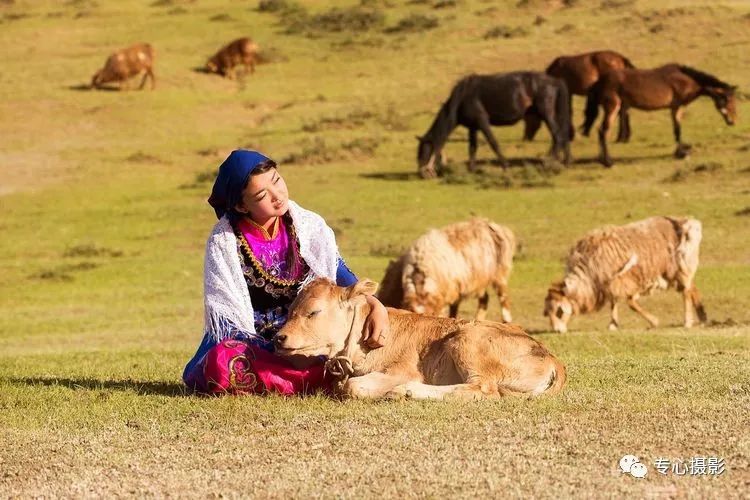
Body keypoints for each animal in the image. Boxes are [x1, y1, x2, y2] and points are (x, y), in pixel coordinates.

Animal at [274, 280, 568, 400]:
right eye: (290, 310)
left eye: (314, 311)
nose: (279, 337)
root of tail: (553, 358)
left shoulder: (403, 369)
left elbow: (352, 387)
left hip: (468, 342)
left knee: (483, 390)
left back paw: (405, 391)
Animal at [376, 218, 516, 320]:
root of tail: (489, 224)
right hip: (479, 280)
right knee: (484, 299)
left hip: (500, 273)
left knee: (504, 298)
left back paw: (506, 320)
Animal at [420, 72, 572, 178]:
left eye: (423, 150)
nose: (422, 173)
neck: (461, 98)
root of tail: (555, 81)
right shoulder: (473, 127)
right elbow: (472, 148)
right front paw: (471, 170)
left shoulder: (483, 122)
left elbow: (493, 143)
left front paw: (505, 166)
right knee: (563, 136)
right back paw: (565, 162)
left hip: (546, 114)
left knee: (558, 137)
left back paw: (547, 164)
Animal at [544, 214, 708, 332]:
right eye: (547, 313)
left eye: (559, 311)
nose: (557, 331)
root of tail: (688, 222)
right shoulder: (609, 282)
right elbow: (614, 302)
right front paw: (613, 324)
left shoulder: (623, 278)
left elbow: (630, 303)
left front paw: (654, 321)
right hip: (678, 270)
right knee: (692, 288)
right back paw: (702, 317)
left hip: (681, 266)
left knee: (686, 292)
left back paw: (687, 322)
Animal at [584, 63, 736, 166]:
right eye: (728, 100)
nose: (732, 121)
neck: (686, 79)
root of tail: (599, 81)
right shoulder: (677, 107)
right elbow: (677, 130)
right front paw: (682, 153)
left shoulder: (676, 109)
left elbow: (676, 129)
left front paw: (680, 152)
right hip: (612, 108)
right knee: (604, 131)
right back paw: (608, 162)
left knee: (601, 131)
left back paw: (601, 159)